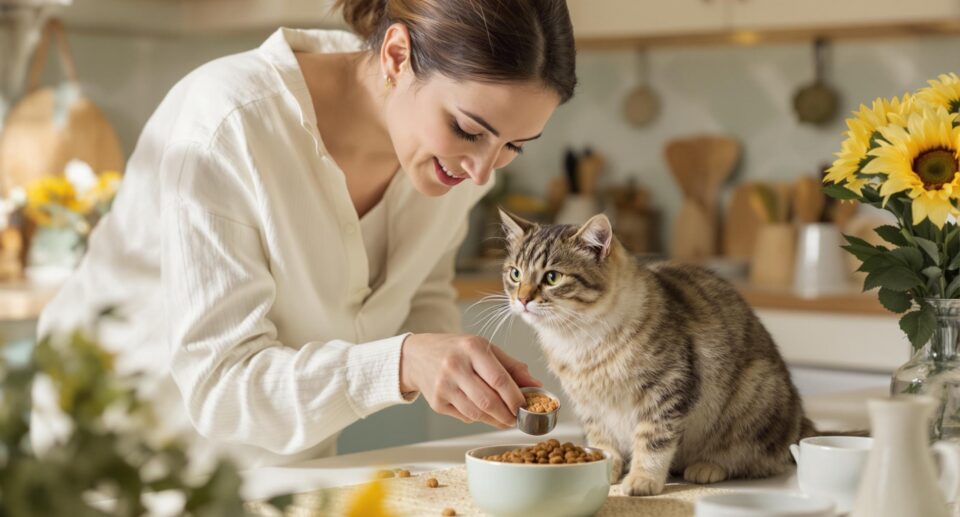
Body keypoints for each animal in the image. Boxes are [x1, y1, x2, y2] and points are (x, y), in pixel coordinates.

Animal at [498, 210, 820, 496]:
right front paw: (607, 469)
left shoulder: (666, 389)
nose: (522, 299)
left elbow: (652, 442)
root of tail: (800, 420)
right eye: (515, 273)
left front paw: (642, 480)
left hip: (755, 395)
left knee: (755, 460)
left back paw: (707, 467)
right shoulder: (590, 406)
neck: (580, 342)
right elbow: (604, 443)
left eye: (552, 277)